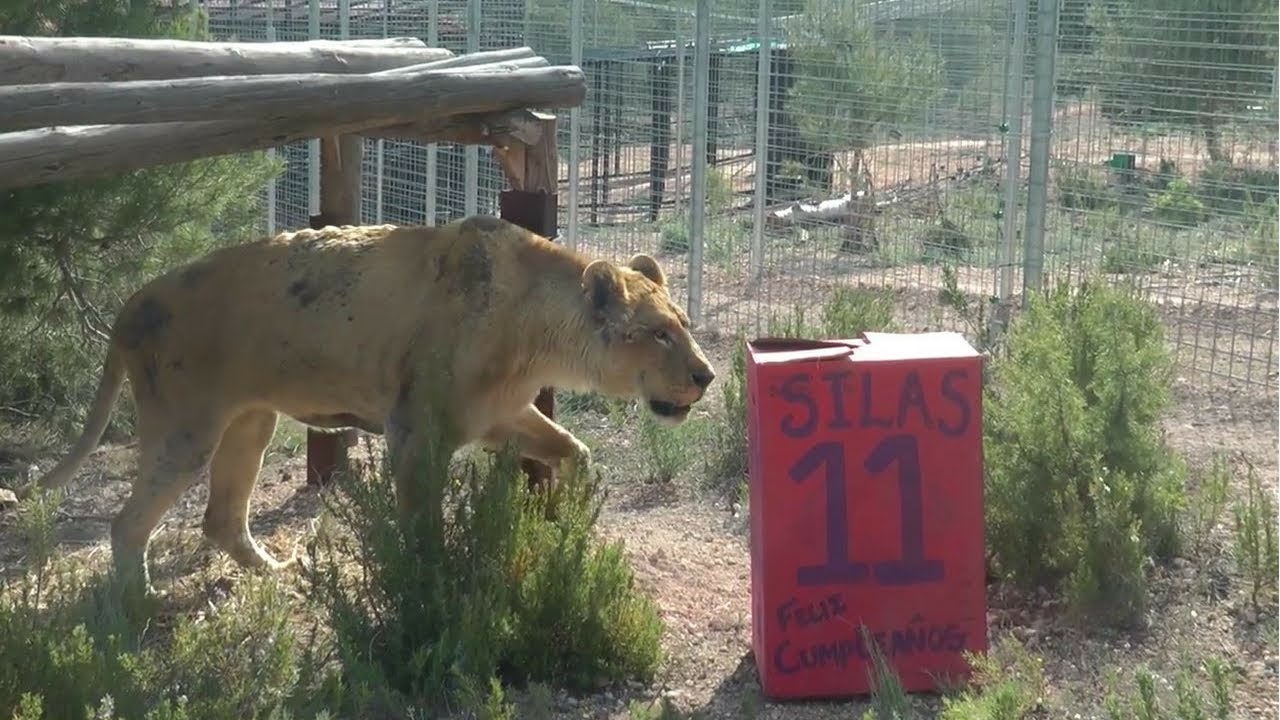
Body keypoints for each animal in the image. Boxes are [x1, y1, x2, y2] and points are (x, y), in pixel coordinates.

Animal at [24, 214, 716, 599]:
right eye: (659, 333)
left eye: (683, 325)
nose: (707, 376)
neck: (538, 333)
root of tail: (128, 305)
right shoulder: (415, 429)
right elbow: (419, 523)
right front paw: (429, 580)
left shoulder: (497, 416)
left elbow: (575, 448)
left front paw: (569, 517)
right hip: (184, 430)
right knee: (127, 524)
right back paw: (139, 606)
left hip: (251, 420)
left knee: (220, 518)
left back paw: (275, 573)